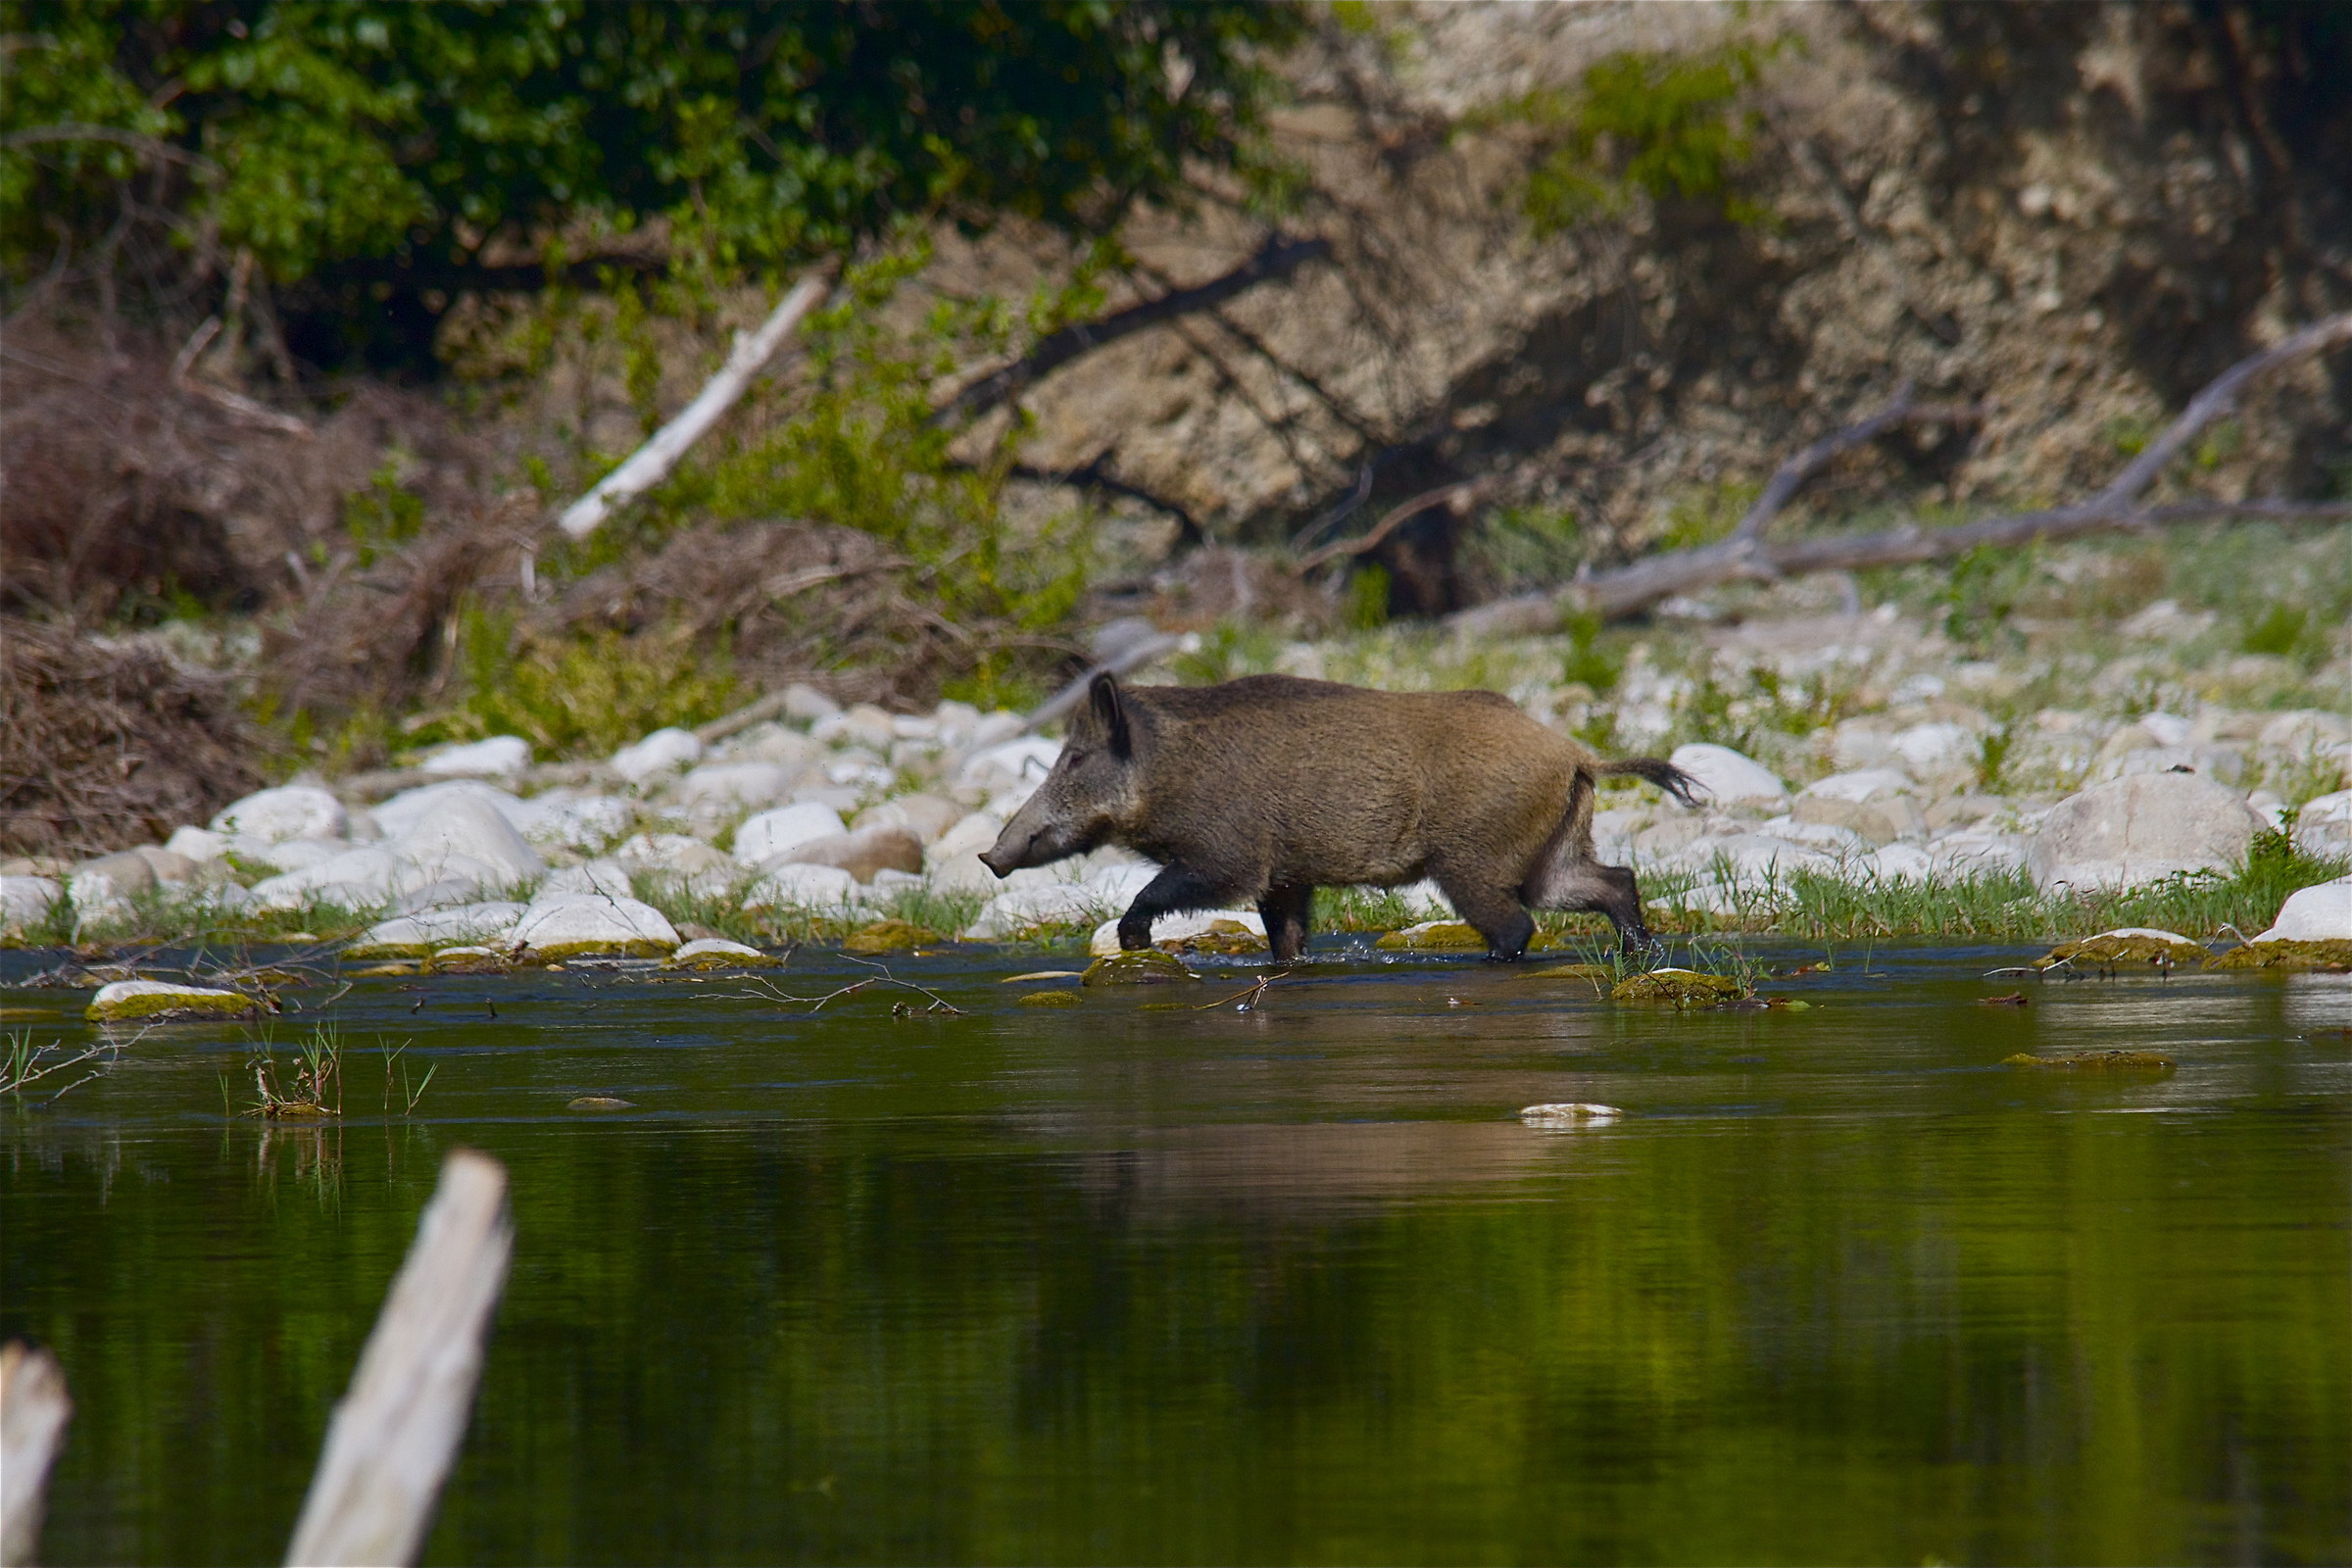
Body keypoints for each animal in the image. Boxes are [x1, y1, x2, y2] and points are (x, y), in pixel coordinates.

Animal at [980, 673, 1701, 961]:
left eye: (1076, 756)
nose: (990, 856)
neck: (1168, 771)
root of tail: (1577, 753)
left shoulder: (1231, 856)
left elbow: (1163, 888)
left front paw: (1133, 942)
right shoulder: (1286, 878)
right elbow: (1287, 937)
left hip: (1470, 860)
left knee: (1517, 925)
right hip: (1551, 852)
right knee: (1612, 881)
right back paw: (1640, 954)